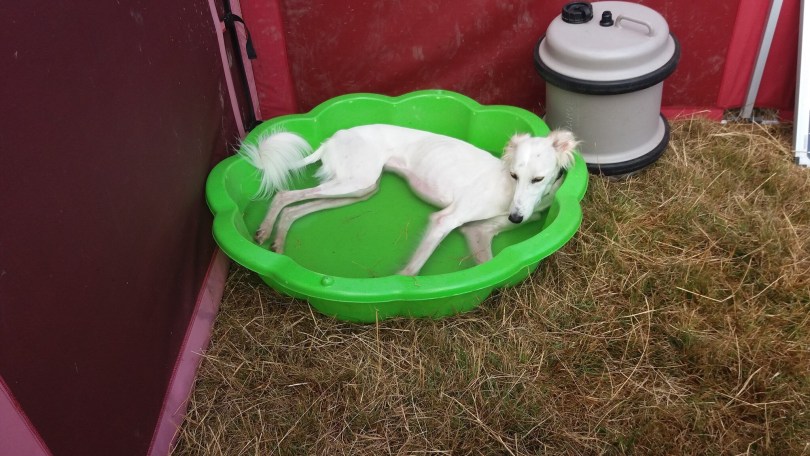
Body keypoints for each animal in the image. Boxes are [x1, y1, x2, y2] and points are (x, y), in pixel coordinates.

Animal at [240, 124, 578, 276]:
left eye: (538, 179)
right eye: (514, 175)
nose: (516, 218)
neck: (505, 188)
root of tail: (333, 137)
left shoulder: (478, 231)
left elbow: (490, 265)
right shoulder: (446, 220)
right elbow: (411, 270)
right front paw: (397, 288)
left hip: (361, 188)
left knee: (296, 209)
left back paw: (278, 241)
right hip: (356, 181)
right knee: (284, 194)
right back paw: (265, 229)